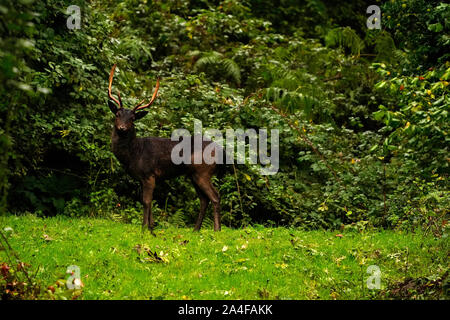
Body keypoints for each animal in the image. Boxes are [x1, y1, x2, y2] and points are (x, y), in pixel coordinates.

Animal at [106, 63, 221, 231]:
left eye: (132, 118)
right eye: (117, 115)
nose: (122, 128)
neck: (134, 154)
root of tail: (223, 152)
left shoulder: (149, 174)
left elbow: (147, 201)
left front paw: (144, 227)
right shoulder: (142, 178)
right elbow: (146, 201)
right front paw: (151, 225)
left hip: (203, 171)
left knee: (215, 196)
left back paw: (217, 229)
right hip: (193, 175)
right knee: (204, 199)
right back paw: (196, 229)